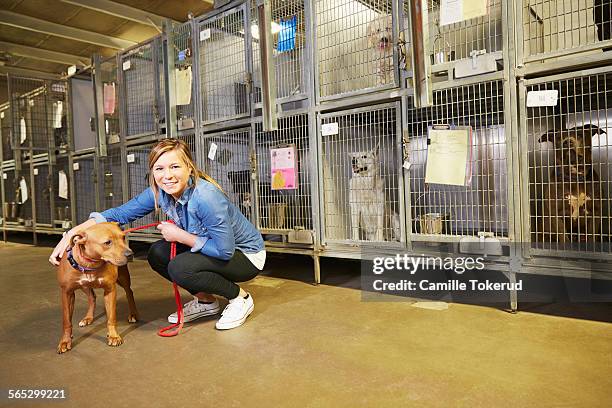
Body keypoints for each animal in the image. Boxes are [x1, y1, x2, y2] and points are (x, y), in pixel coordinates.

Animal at [56, 222, 137, 352]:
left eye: (123, 237)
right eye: (107, 242)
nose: (130, 254)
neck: (90, 264)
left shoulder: (110, 289)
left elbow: (111, 317)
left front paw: (113, 336)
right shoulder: (66, 293)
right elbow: (66, 320)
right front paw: (65, 341)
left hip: (123, 278)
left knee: (129, 292)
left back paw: (133, 314)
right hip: (84, 286)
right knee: (92, 297)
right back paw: (88, 318)